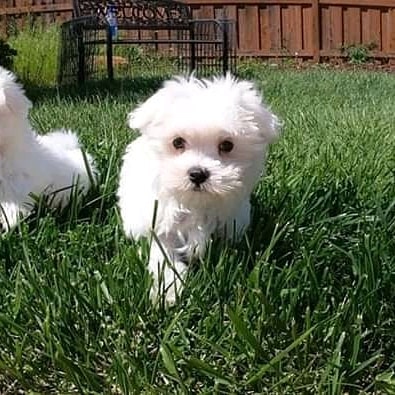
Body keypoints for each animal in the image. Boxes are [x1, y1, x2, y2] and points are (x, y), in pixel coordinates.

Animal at [118, 74, 282, 304]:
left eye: (227, 145)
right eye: (178, 142)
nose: (197, 174)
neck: (195, 203)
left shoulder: (230, 224)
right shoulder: (160, 224)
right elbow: (162, 256)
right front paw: (168, 290)